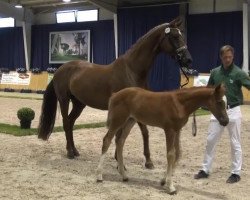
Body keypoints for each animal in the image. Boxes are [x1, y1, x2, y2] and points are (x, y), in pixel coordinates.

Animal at [38, 17, 192, 168]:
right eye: (175, 36)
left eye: (181, 35)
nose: (188, 60)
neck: (132, 70)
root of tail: (59, 69)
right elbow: (124, 133)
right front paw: (125, 161)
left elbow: (140, 132)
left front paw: (143, 161)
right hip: (64, 99)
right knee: (65, 122)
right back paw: (70, 152)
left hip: (79, 103)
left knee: (70, 123)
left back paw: (75, 151)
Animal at [96, 84, 229, 194]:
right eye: (219, 102)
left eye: (226, 103)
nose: (226, 121)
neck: (180, 103)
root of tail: (115, 94)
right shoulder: (169, 130)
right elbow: (170, 154)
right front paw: (171, 187)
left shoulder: (177, 130)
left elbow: (178, 153)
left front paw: (163, 181)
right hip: (118, 120)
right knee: (107, 140)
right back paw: (99, 176)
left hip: (130, 120)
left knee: (120, 142)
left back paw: (124, 176)